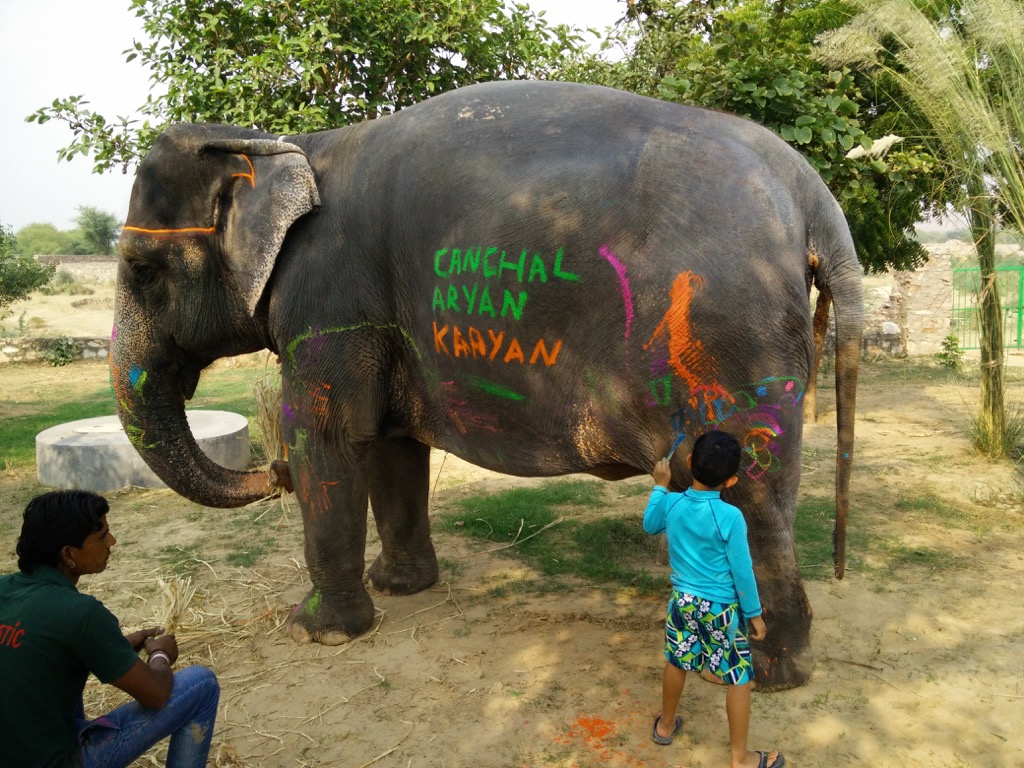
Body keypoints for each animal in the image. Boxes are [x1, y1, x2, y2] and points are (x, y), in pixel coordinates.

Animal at [111, 80, 862, 691]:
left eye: (143, 270)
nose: (271, 475)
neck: (285, 144)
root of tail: (810, 191)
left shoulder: (327, 298)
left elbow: (327, 437)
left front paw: (317, 633)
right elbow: (391, 443)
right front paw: (402, 588)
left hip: (728, 336)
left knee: (749, 493)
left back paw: (768, 675)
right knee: (765, 492)